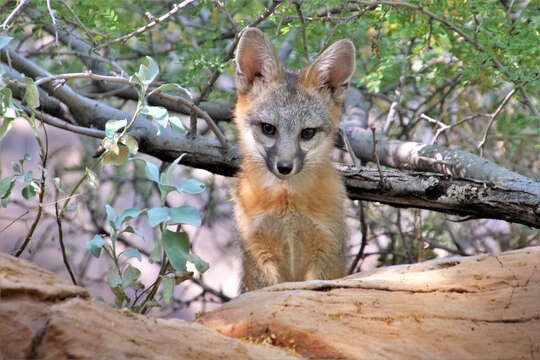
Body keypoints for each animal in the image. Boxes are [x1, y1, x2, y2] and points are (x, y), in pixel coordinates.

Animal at [232, 28, 354, 292]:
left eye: (307, 133)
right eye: (268, 129)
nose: (285, 167)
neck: (286, 201)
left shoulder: (327, 249)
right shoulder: (258, 252)